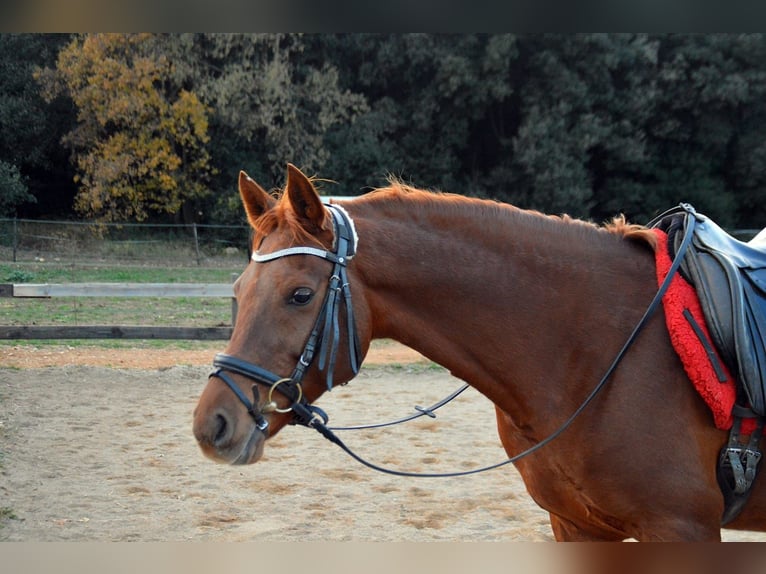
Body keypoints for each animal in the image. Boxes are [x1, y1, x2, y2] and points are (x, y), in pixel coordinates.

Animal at [193, 164, 766, 541]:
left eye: (300, 295)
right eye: (239, 290)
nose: (212, 424)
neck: (593, 353)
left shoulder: (679, 529)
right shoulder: (576, 527)